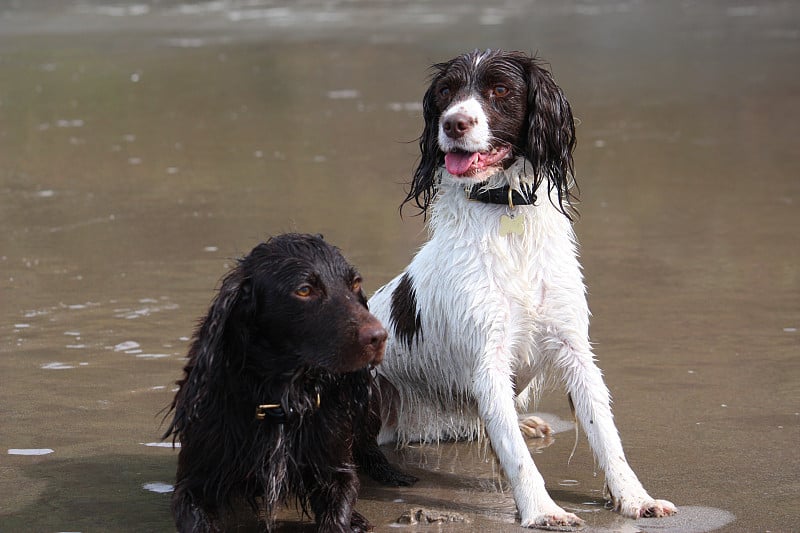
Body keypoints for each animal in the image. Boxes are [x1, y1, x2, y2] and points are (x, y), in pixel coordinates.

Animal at [368, 48, 676, 528]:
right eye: (446, 92)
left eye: (500, 89)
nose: (453, 123)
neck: (505, 208)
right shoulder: (488, 358)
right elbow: (513, 452)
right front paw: (542, 509)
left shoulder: (574, 346)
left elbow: (605, 434)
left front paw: (635, 498)